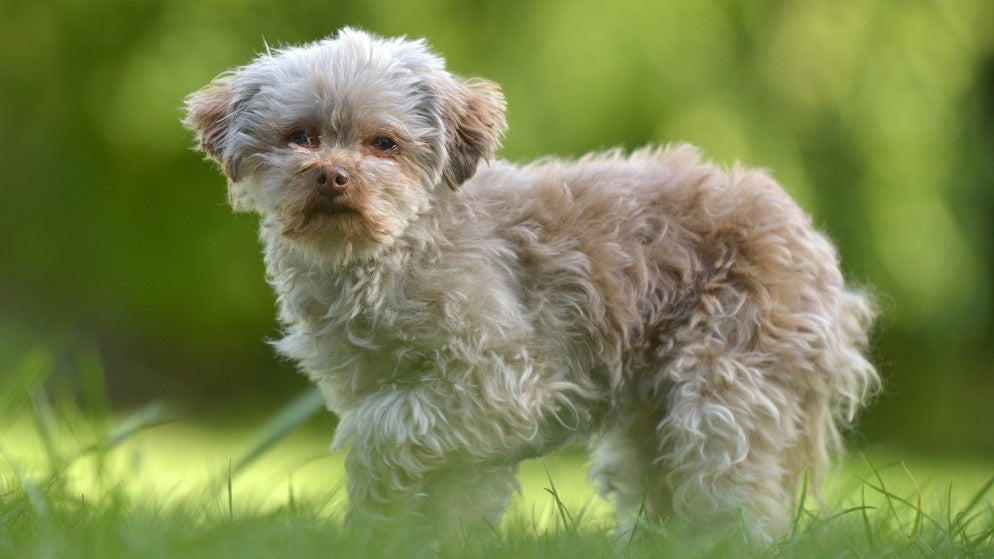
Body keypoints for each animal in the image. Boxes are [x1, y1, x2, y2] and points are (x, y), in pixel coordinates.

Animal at [180, 27, 876, 544]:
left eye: (384, 144)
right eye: (300, 136)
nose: (331, 175)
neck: (389, 254)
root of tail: (809, 238)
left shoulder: (501, 382)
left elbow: (376, 433)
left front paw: (374, 505)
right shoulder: (443, 412)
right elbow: (452, 489)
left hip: (721, 388)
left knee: (733, 496)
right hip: (650, 419)